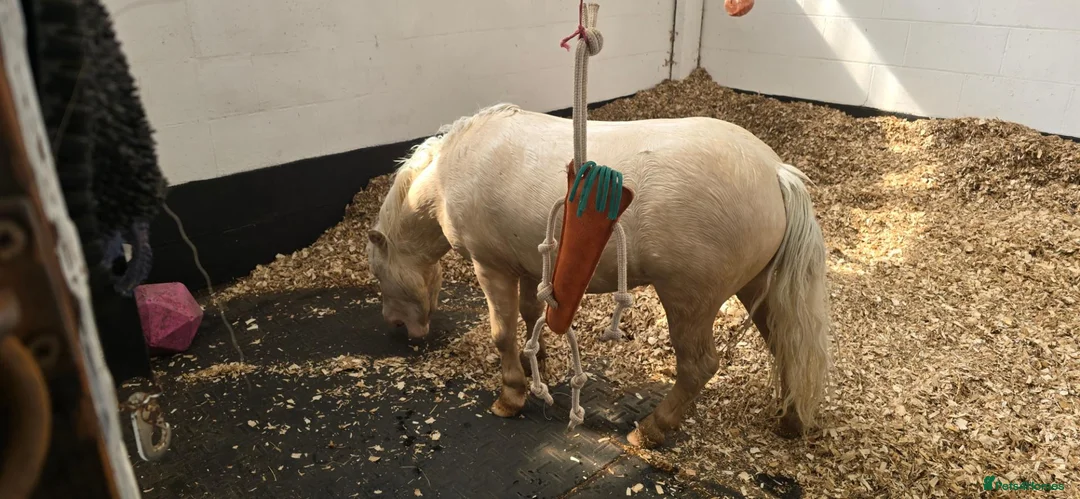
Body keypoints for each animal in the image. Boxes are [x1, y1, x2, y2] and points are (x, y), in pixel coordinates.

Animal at [366, 103, 831, 446]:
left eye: (378, 273)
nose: (396, 325)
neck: (451, 171)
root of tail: (775, 173)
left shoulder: (491, 267)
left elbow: (503, 334)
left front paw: (511, 394)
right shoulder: (530, 265)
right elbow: (532, 313)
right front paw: (539, 362)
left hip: (688, 301)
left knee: (698, 366)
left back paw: (652, 429)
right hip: (759, 290)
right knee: (786, 346)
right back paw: (791, 420)